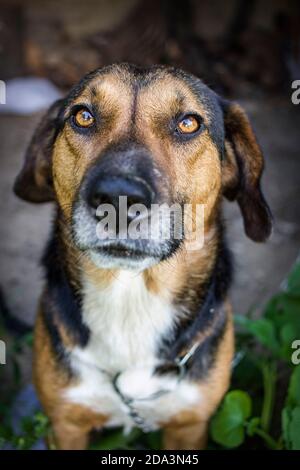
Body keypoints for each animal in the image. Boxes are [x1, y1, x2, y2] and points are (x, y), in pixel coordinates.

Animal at [14, 64, 272, 450]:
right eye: (83, 116)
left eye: (188, 123)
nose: (117, 198)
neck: (131, 299)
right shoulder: (66, 424)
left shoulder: (189, 424)